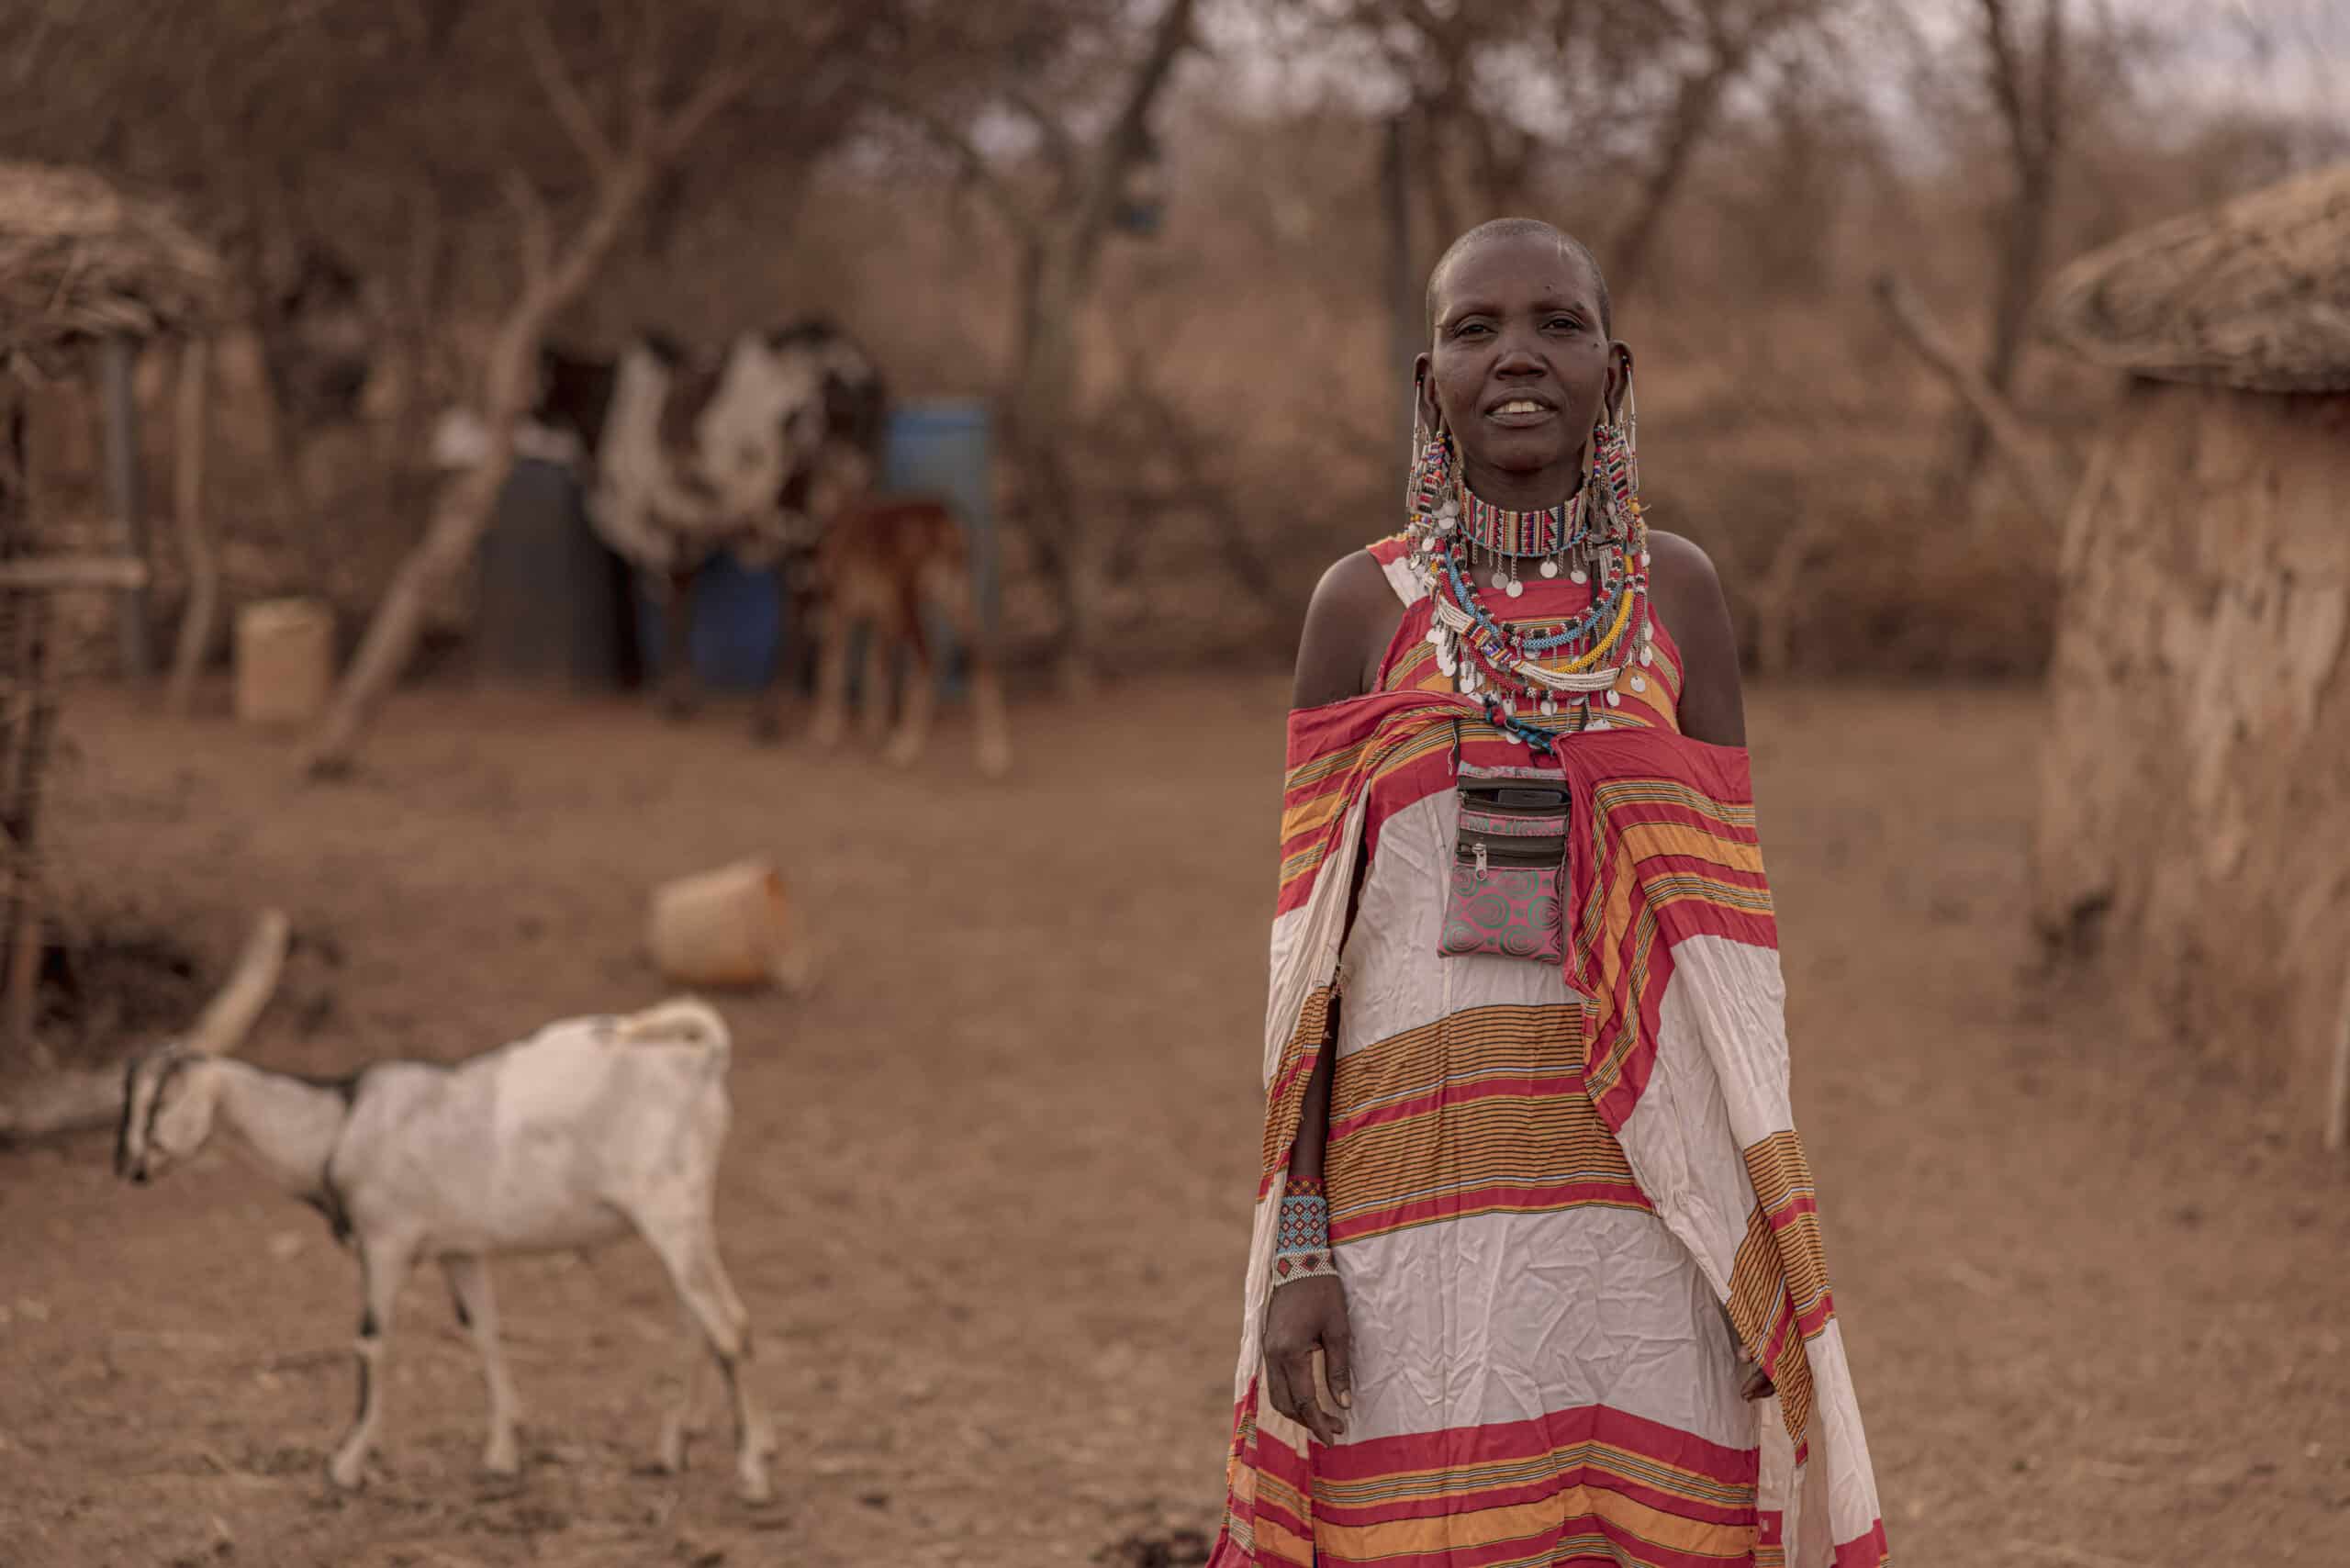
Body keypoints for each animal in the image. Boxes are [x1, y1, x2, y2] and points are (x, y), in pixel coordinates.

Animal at [114, 1001, 775, 1504]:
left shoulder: (386, 1243)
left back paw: (751, 1474)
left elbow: (371, 1343)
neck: (338, 1126)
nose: (131, 1168)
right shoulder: (460, 1250)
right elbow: (482, 1332)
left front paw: (346, 1465)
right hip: (681, 1220)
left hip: (669, 1212)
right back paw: (673, 1448)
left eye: (158, 1101)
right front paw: (503, 1453)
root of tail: (701, 1064)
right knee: (697, 1319)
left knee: (729, 1324)